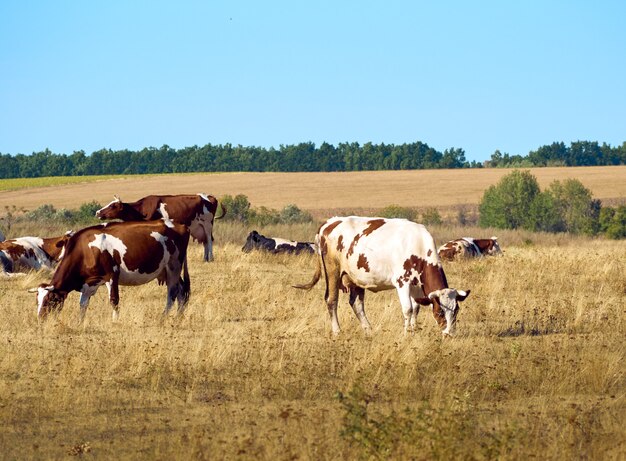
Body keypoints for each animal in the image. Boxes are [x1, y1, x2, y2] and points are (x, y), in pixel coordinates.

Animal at [32, 220, 188, 322]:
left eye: (49, 300)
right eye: (37, 301)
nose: (40, 319)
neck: (85, 250)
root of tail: (179, 225)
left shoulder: (111, 275)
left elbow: (114, 300)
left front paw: (115, 321)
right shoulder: (90, 282)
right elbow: (83, 304)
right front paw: (80, 322)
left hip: (174, 265)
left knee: (173, 292)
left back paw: (163, 317)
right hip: (166, 270)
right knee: (182, 291)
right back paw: (178, 318)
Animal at [95, 192, 224, 260]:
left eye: (112, 206)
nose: (97, 212)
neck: (142, 209)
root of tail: (209, 196)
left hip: (207, 224)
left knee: (209, 240)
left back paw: (211, 258)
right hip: (199, 227)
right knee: (206, 241)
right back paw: (205, 259)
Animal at [294, 216, 468, 334]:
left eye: (456, 310)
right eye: (440, 312)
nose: (449, 334)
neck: (418, 245)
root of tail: (329, 223)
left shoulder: (416, 285)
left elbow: (416, 308)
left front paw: (414, 330)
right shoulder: (402, 282)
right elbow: (408, 309)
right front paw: (407, 334)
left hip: (355, 277)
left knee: (357, 304)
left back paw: (368, 329)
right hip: (333, 272)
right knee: (332, 300)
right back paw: (337, 331)